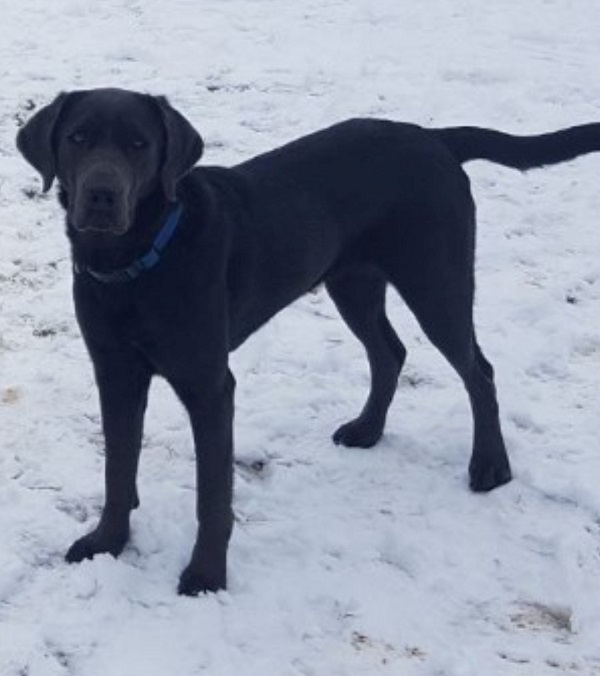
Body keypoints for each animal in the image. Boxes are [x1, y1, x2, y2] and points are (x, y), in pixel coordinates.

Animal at [16, 88, 600, 592]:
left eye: (139, 144)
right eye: (79, 138)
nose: (102, 194)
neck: (134, 267)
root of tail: (434, 137)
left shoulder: (209, 385)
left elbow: (213, 496)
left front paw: (206, 575)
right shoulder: (114, 371)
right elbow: (118, 469)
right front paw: (106, 542)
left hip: (436, 279)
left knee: (478, 371)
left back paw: (490, 466)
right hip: (353, 280)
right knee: (390, 353)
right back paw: (367, 430)